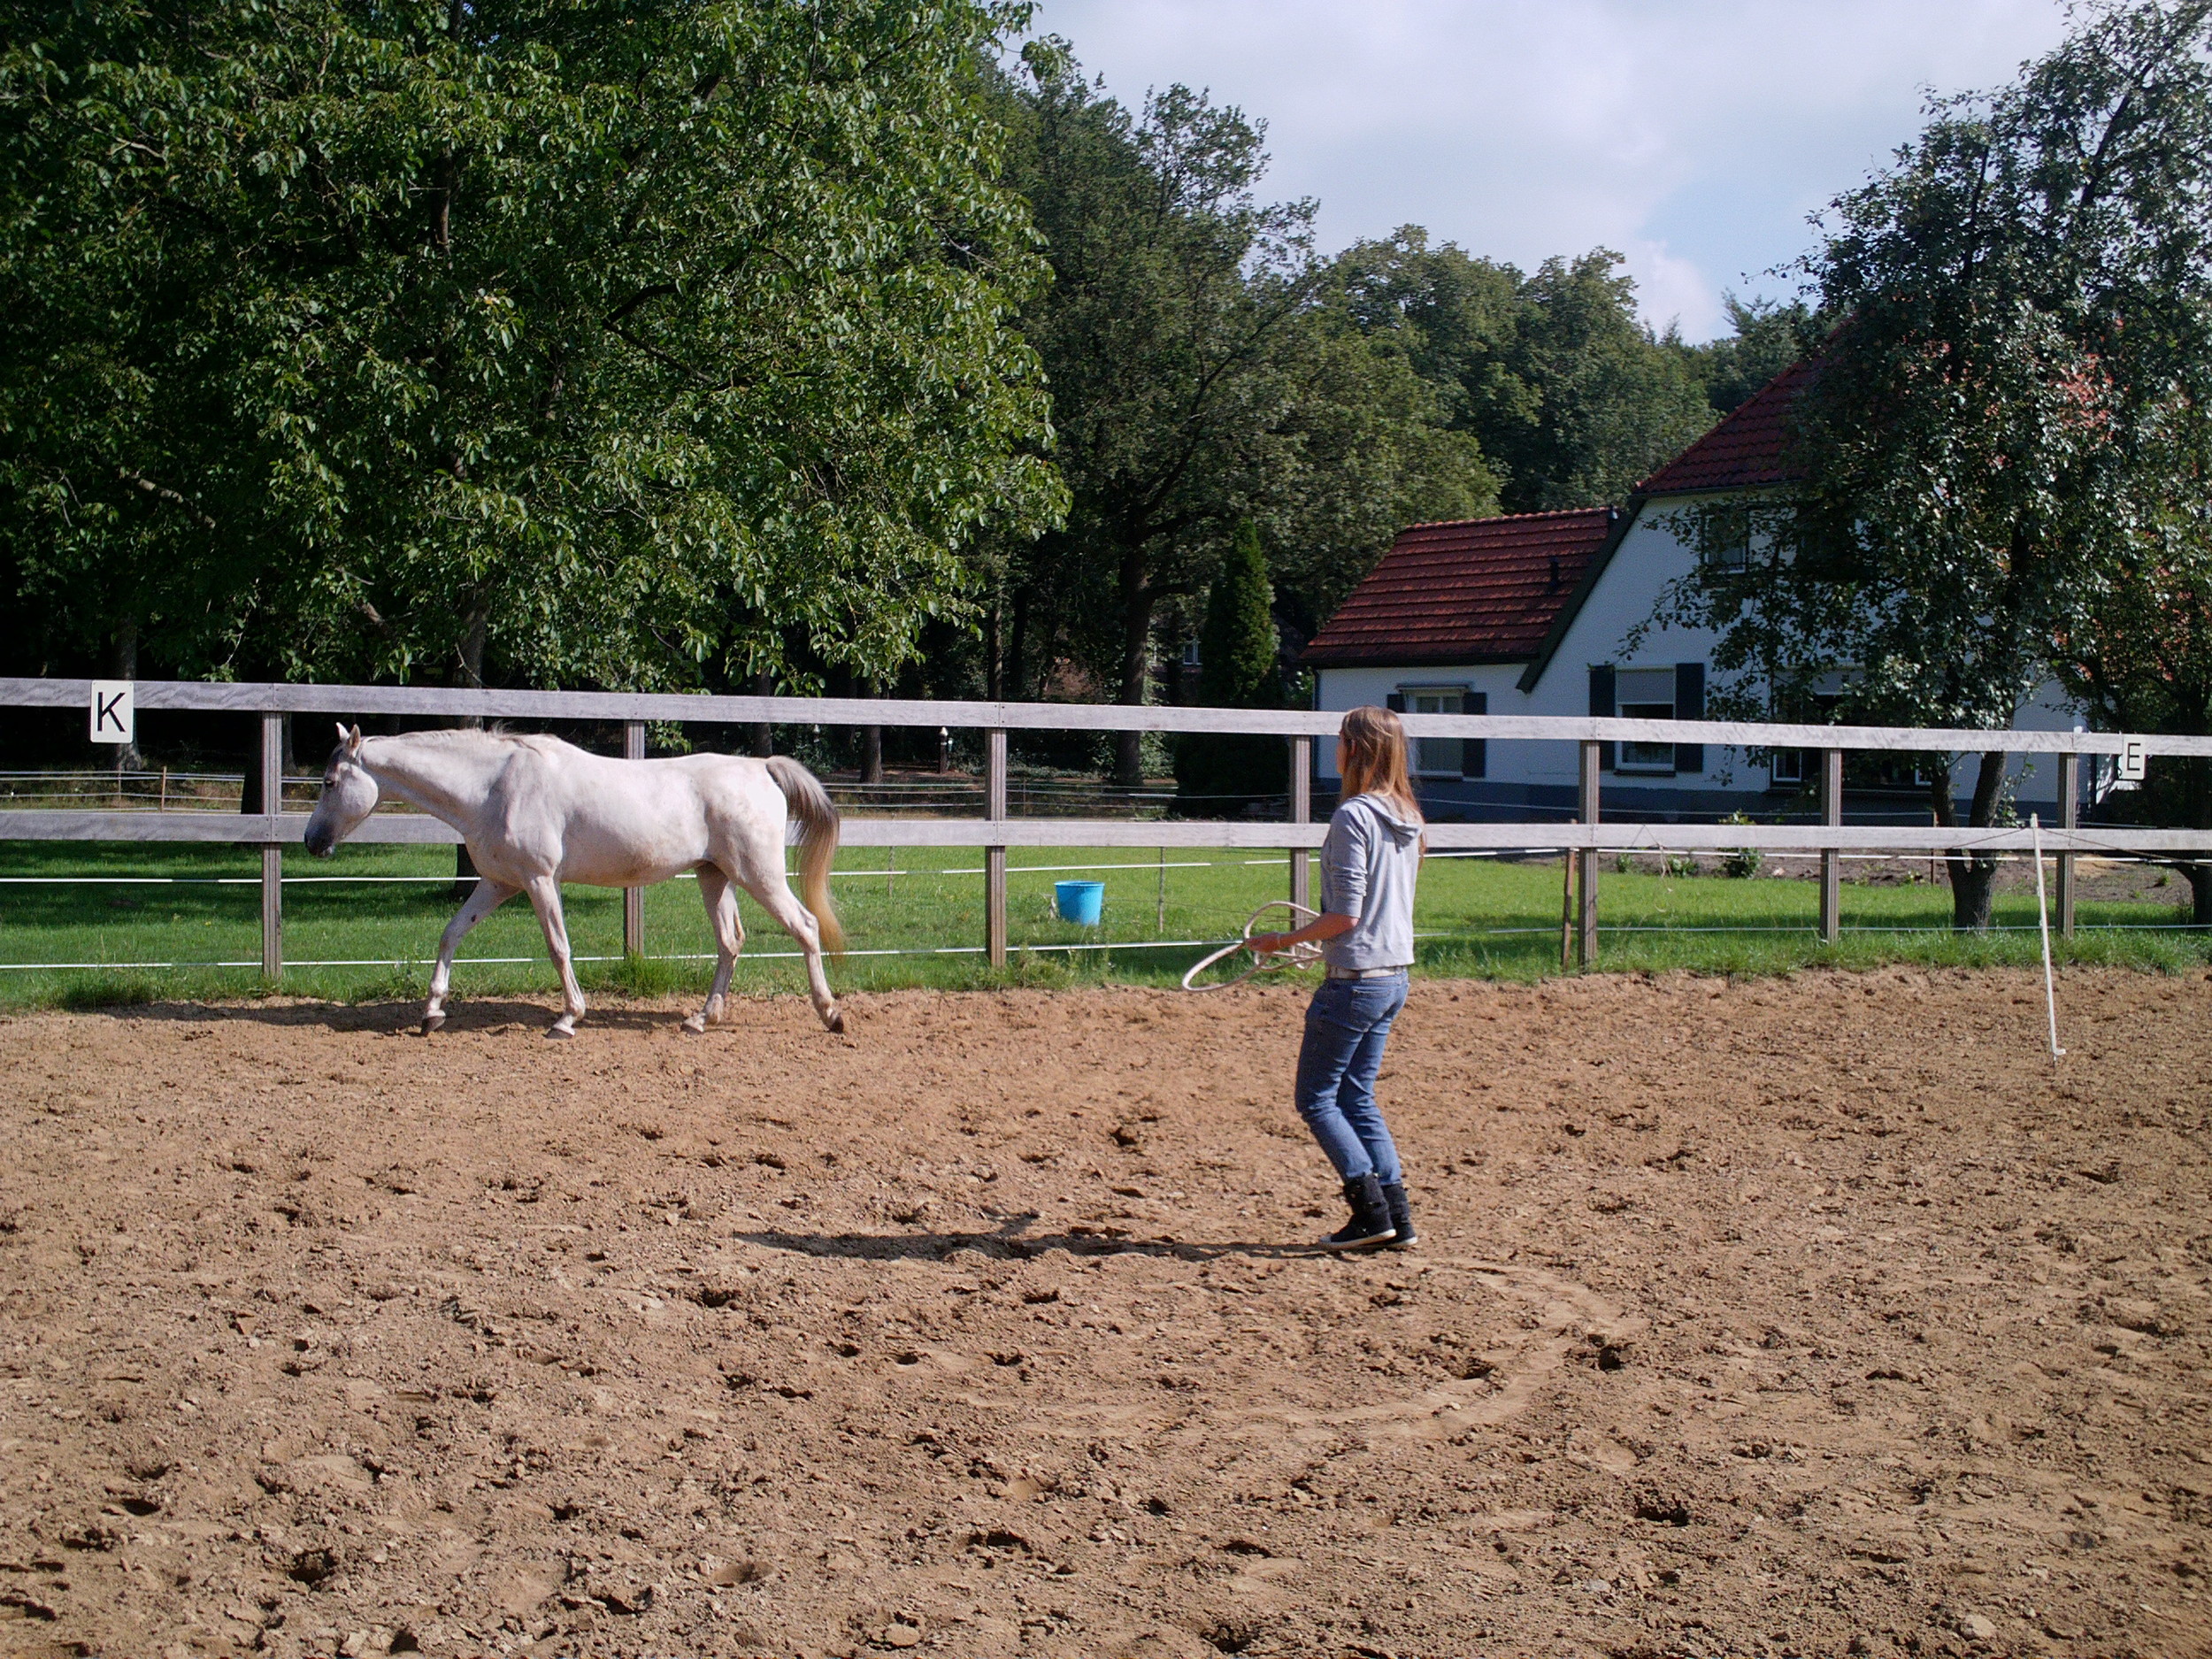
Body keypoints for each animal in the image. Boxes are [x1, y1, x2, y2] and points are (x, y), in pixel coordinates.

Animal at [298, 726, 841, 1040]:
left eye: (329, 782)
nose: (311, 841)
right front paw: (432, 1012)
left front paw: (568, 1019)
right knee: (731, 942)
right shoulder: (498, 883)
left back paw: (831, 1014)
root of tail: (761, 769)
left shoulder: (540, 880)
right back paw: (700, 1019)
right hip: (716, 877)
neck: (493, 786)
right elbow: (451, 933)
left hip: (759, 874)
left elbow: (559, 948)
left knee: (806, 927)